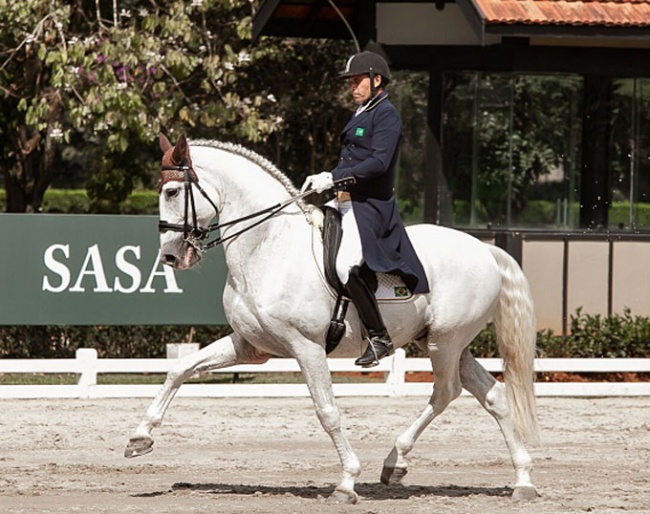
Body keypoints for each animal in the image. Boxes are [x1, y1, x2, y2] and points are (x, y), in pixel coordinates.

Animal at [124, 134, 540, 502]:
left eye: (172, 192)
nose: (171, 256)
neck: (269, 246)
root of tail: (486, 250)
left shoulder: (306, 347)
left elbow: (327, 412)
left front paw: (346, 482)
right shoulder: (250, 347)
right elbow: (181, 369)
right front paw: (140, 437)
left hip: (445, 341)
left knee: (446, 391)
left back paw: (397, 461)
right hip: (444, 341)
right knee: (493, 395)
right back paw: (521, 480)